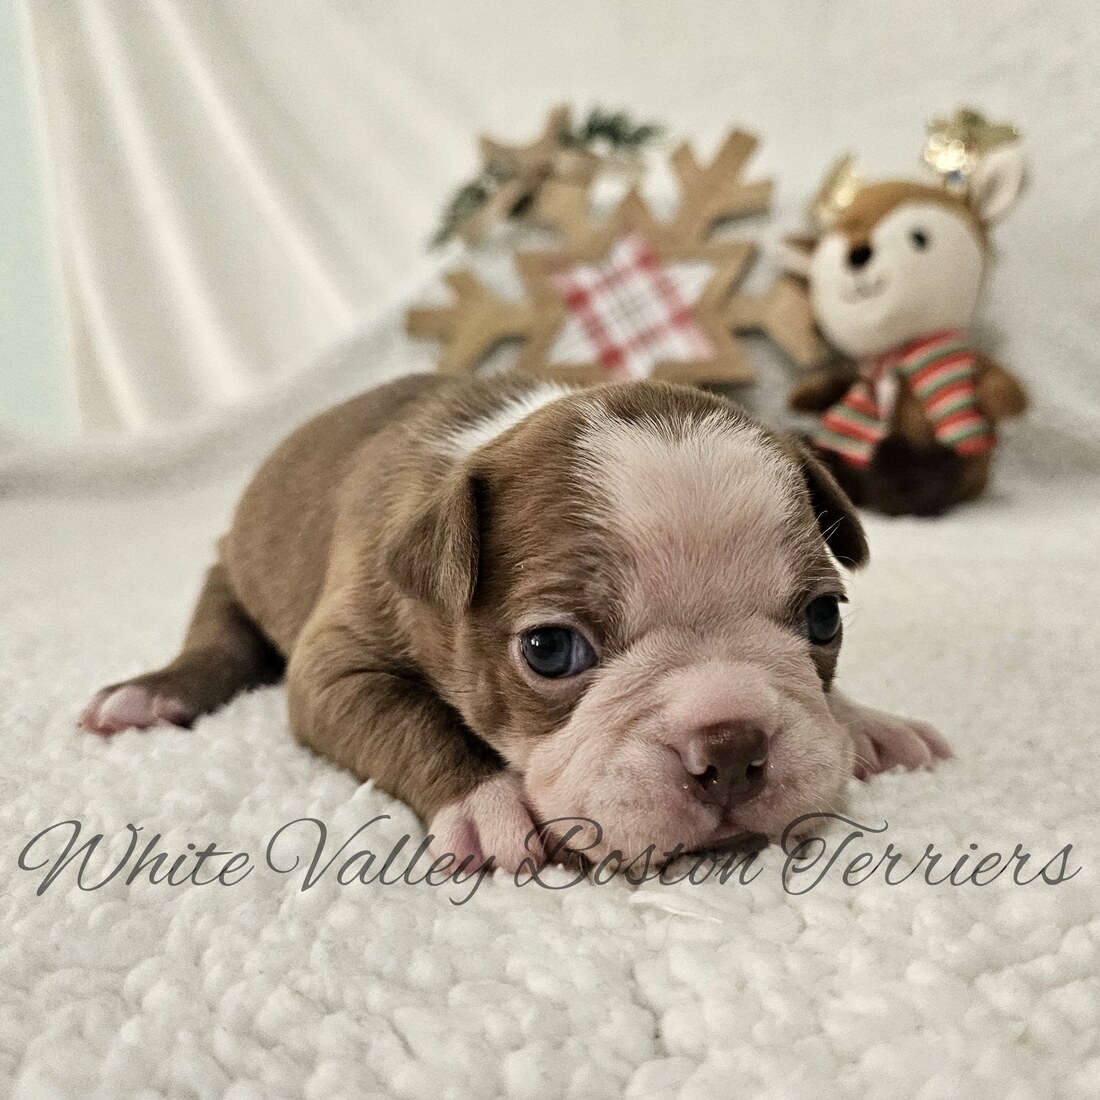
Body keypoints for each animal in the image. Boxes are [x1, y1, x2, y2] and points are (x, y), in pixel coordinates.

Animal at [82, 374, 949, 870]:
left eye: (823, 618)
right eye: (551, 649)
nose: (732, 746)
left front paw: (867, 723)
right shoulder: (335, 667)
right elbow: (411, 721)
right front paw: (486, 806)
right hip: (228, 574)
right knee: (219, 639)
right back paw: (149, 694)